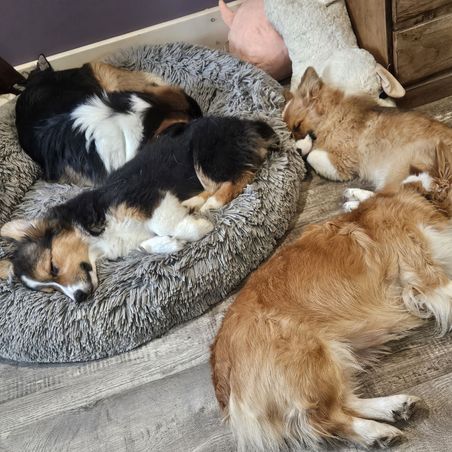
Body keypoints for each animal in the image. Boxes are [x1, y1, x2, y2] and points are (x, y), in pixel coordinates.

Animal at [0, 116, 277, 302]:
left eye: (53, 267)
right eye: (50, 289)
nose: (78, 298)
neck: (94, 239)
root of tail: (248, 125)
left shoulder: (146, 196)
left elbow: (164, 223)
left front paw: (196, 227)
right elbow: (145, 244)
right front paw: (169, 244)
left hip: (206, 156)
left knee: (242, 175)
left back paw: (212, 202)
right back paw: (194, 203)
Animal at [211, 145, 452, 450]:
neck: (427, 199)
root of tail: (222, 374)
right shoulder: (425, 274)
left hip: (334, 356)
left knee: (344, 402)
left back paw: (394, 408)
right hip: (310, 356)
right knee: (326, 418)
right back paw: (376, 431)